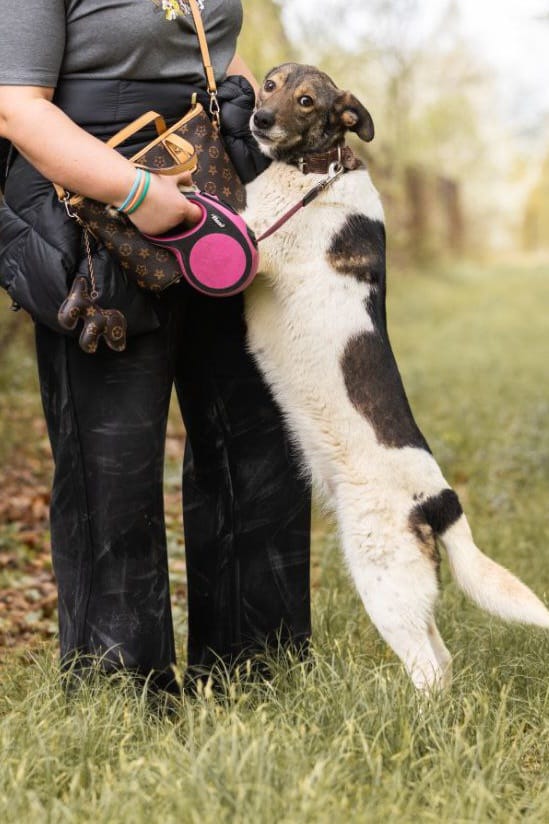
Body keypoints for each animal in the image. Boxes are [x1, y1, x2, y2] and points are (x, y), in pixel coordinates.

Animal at [241, 63, 549, 690]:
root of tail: (440, 498)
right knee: (442, 660)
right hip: (407, 583)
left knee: (428, 670)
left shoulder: (255, 240)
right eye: (271, 84)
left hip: (381, 574)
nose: (258, 119)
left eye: (306, 101)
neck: (317, 172)